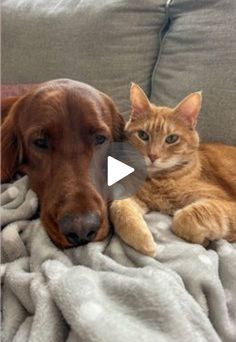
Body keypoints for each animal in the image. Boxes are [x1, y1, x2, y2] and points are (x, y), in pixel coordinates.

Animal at [110, 83, 236, 256]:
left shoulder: (224, 203)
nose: (153, 155)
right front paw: (143, 240)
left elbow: (184, 218)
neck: (159, 179)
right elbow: (118, 206)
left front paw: (203, 239)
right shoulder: (137, 198)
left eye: (171, 139)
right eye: (143, 135)